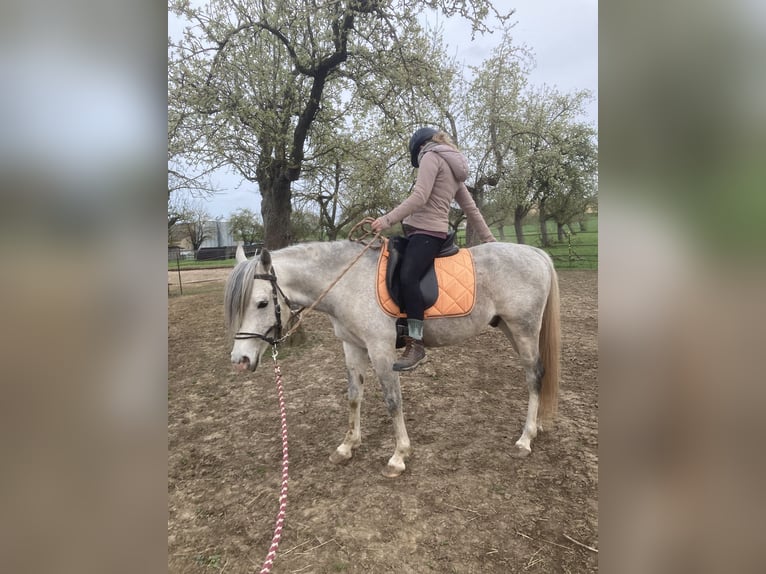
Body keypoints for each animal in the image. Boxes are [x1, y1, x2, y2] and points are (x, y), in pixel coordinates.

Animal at [224, 239, 560, 478]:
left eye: (262, 303)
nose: (240, 360)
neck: (348, 282)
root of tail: (536, 253)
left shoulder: (381, 350)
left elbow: (392, 401)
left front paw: (399, 456)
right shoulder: (352, 346)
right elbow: (354, 397)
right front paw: (347, 446)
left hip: (524, 330)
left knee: (534, 376)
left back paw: (525, 439)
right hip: (509, 329)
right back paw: (536, 427)